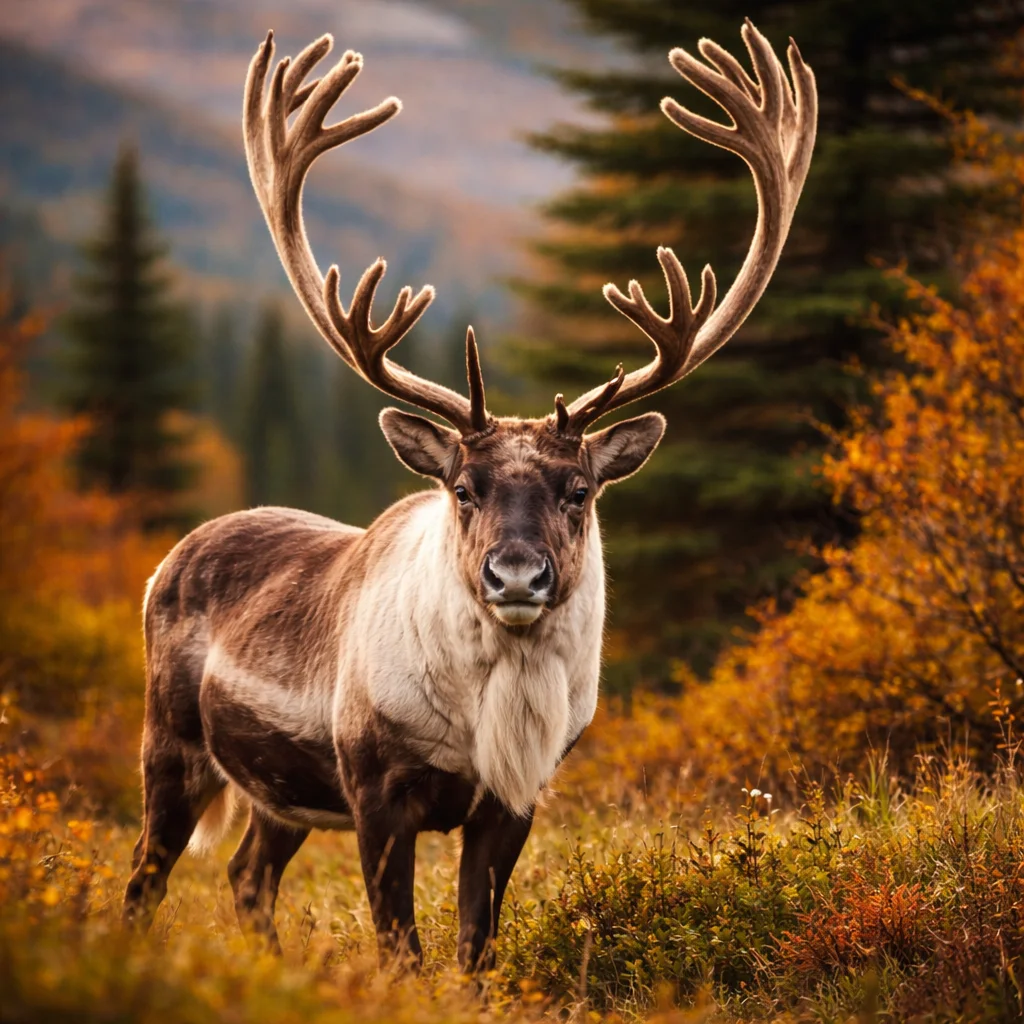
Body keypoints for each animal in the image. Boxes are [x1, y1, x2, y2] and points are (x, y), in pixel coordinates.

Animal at [122, 21, 816, 972]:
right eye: (461, 487)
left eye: (578, 489)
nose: (516, 576)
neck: (492, 719)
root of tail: (170, 558)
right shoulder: (376, 789)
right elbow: (402, 947)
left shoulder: (516, 801)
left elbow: (475, 948)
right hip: (172, 743)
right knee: (146, 877)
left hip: (278, 794)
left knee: (246, 876)